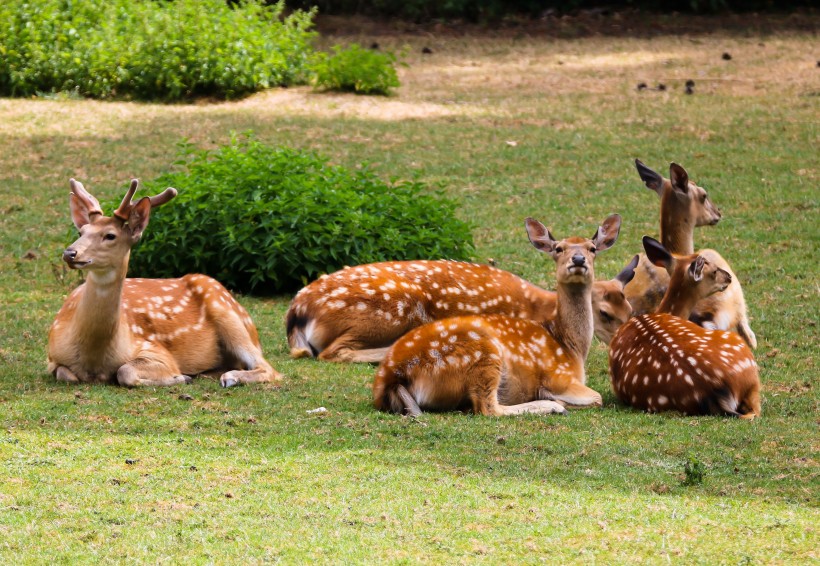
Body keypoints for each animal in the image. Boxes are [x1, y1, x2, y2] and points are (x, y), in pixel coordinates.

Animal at [45, 180, 282, 388]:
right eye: (81, 231)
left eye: (110, 235)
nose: (70, 253)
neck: (94, 358)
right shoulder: (51, 356)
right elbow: (65, 374)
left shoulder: (154, 350)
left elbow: (125, 371)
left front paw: (181, 377)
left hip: (230, 316)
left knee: (270, 369)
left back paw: (230, 377)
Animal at [288, 255, 640, 366]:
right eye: (605, 313)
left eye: (631, 309)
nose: (622, 343)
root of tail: (296, 311)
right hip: (391, 311)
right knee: (332, 352)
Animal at [372, 213, 620, 418]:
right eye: (559, 248)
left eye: (592, 248)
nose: (578, 260)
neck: (571, 347)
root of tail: (393, 377)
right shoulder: (559, 376)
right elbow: (597, 397)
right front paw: (555, 399)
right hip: (484, 355)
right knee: (488, 407)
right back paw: (552, 406)